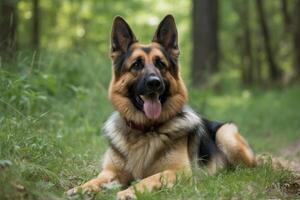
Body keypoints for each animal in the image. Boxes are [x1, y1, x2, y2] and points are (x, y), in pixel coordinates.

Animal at [67, 14, 255, 199]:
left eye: (160, 64)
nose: (154, 83)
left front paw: (128, 192)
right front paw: (81, 188)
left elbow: (150, 178)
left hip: (226, 134)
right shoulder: (110, 171)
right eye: (136, 65)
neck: (145, 130)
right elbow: (96, 179)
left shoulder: (179, 171)